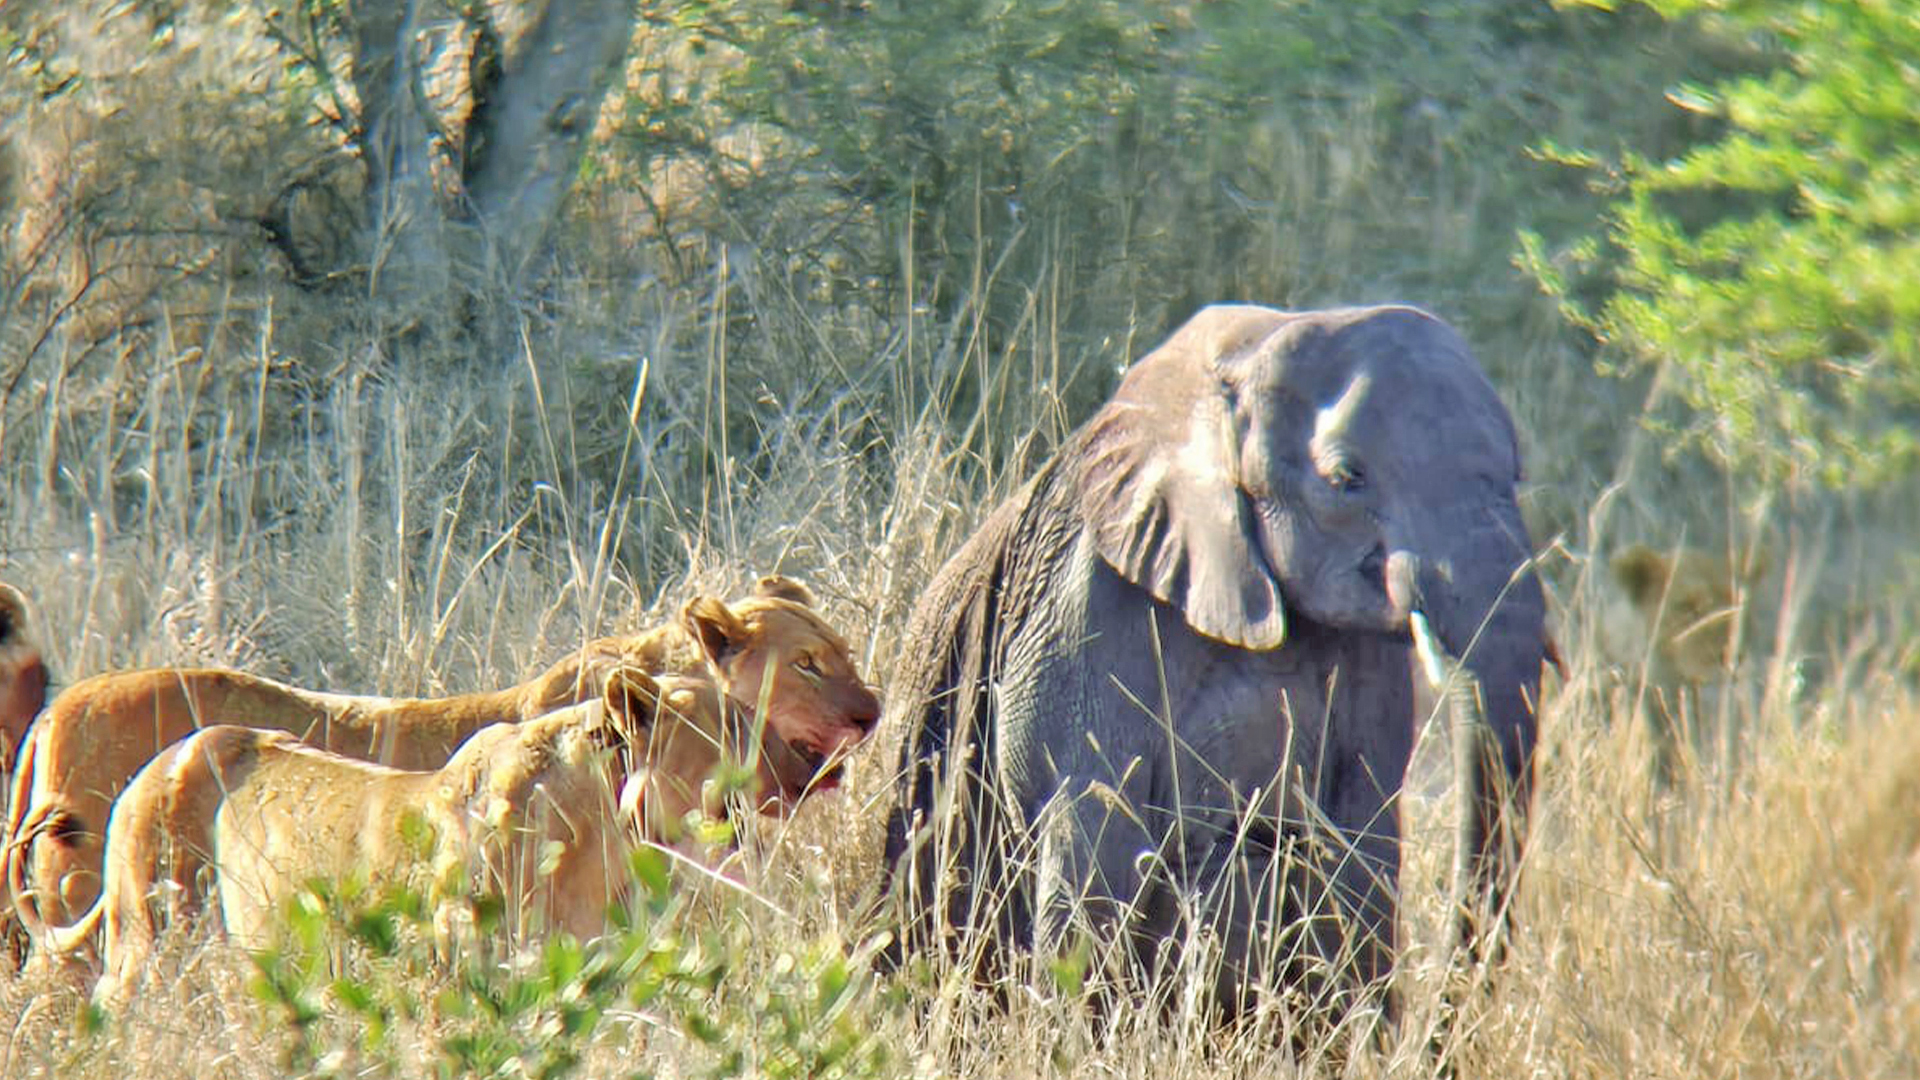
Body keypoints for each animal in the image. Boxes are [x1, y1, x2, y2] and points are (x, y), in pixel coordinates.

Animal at [50, 664, 817, 999]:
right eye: (736, 725)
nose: (804, 764)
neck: (610, 838)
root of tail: (152, 770)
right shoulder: (462, 964)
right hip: (146, 944)